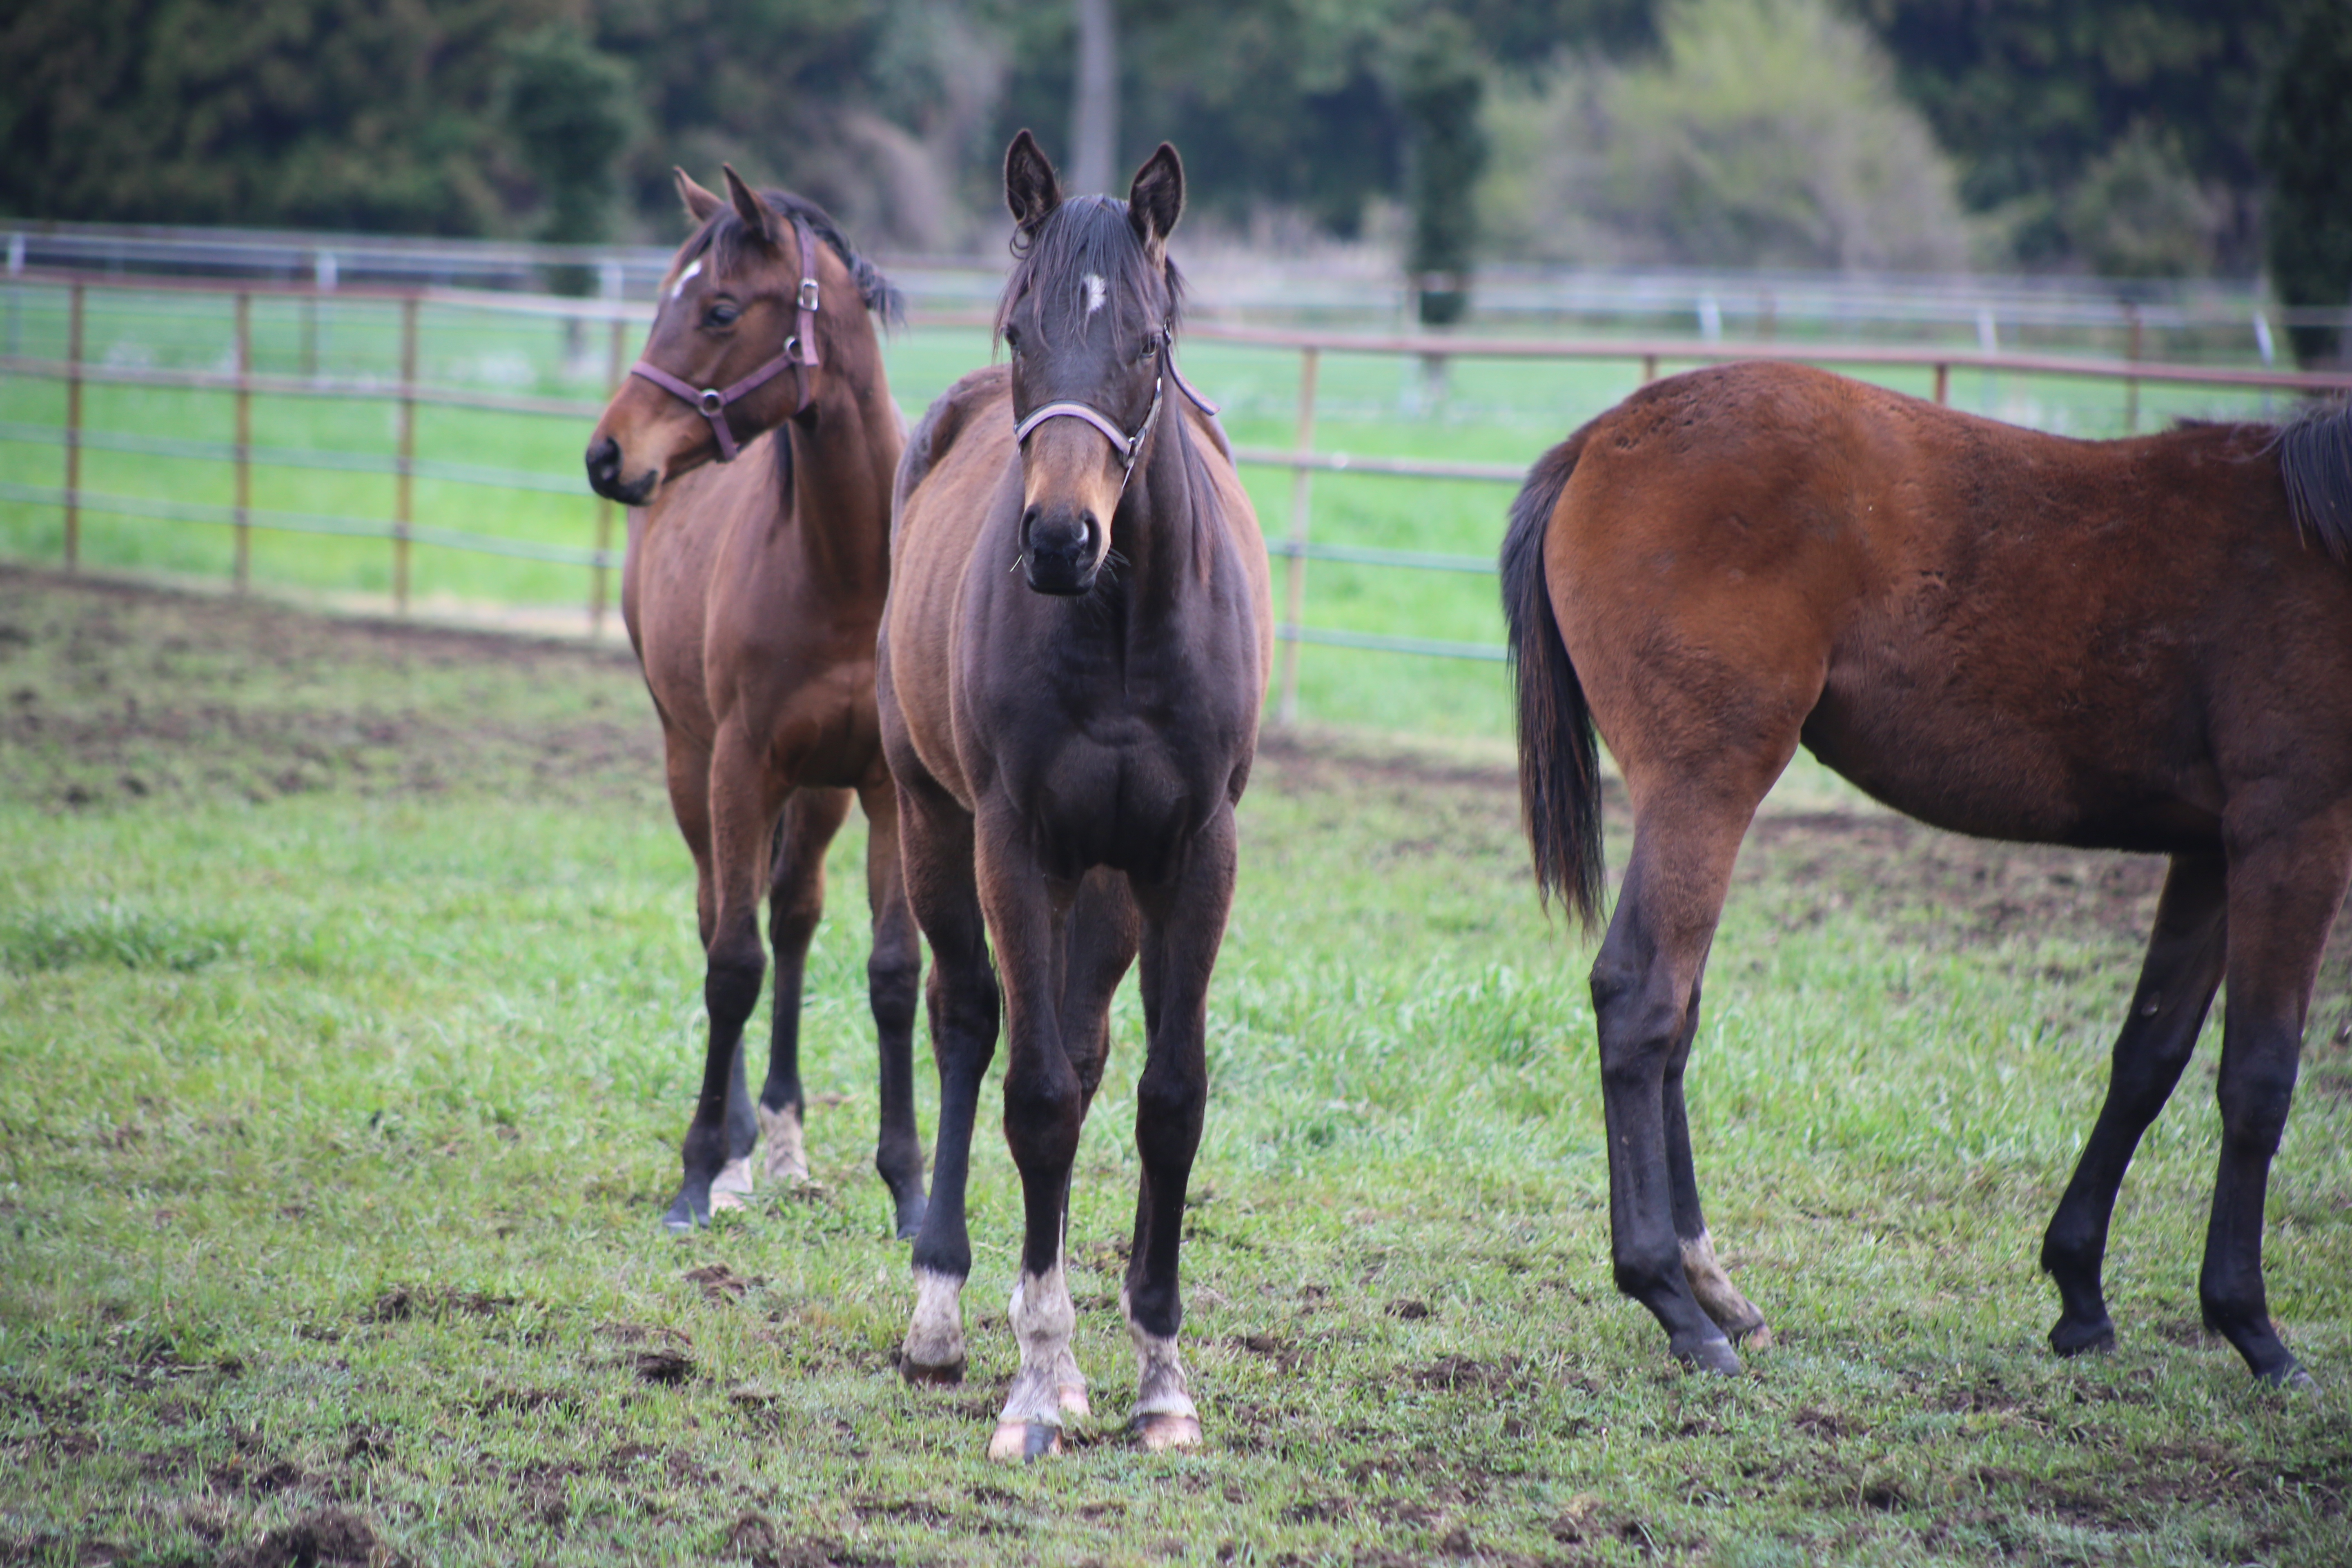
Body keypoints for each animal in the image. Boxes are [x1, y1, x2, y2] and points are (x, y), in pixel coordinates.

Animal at [578, 160, 927, 1241]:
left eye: (721, 308)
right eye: (664, 299)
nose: (607, 456)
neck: (847, 570)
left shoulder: (885, 787)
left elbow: (892, 973)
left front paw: (911, 1187)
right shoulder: (738, 766)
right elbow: (729, 964)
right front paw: (698, 1175)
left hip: (817, 794)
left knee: (794, 917)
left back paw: (782, 1138)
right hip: (690, 762)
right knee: (718, 918)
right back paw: (737, 1151)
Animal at [875, 135, 1270, 1457]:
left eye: (1146, 342)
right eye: (1017, 332)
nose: (1058, 539)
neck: (1121, 627)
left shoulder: (1192, 853)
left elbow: (1167, 1099)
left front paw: (1158, 1378)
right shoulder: (1015, 843)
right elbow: (1035, 1095)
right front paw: (1039, 1379)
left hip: (1109, 882)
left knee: (1089, 1045)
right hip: (932, 820)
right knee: (964, 1019)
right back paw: (943, 1310)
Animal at [1505, 364, 2352, 1382]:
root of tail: (1602, 437)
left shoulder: (2210, 851)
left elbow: (2149, 1058)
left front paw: (2081, 1295)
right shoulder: (2293, 828)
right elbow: (2260, 1079)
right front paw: (2255, 1329)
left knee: (1675, 1016)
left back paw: (1716, 1290)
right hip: (1705, 785)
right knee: (1643, 1002)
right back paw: (1675, 1301)